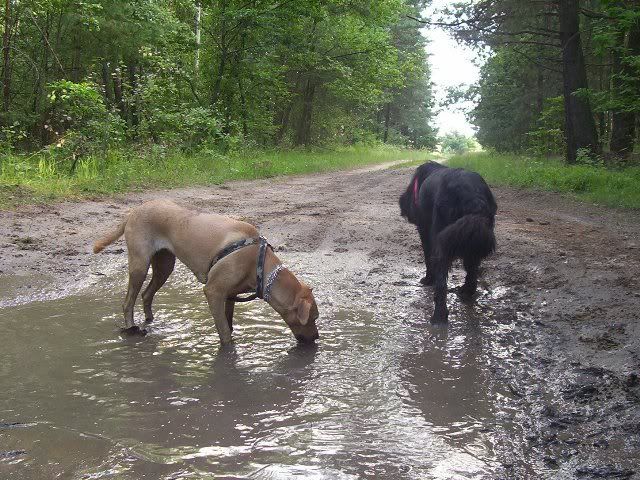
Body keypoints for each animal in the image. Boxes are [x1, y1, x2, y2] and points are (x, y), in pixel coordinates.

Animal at [93, 200, 319, 344]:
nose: (317, 337)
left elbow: (228, 322)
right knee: (128, 302)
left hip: (164, 266)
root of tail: (135, 210)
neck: (259, 264)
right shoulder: (213, 291)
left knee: (146, 294)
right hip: (139, 265)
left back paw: (150, 321)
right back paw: (132, 328)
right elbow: (225, 334)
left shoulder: (229, 294)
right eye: (313, 318)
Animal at [399, 161, 497, 323]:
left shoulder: (425, 232)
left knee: (441, 284)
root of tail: (473, 196)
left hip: (443, 241)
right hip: (473, 240)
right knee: (472, 272)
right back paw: (466, 291)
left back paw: (438, 317)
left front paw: (428, 279)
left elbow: (428, 259)